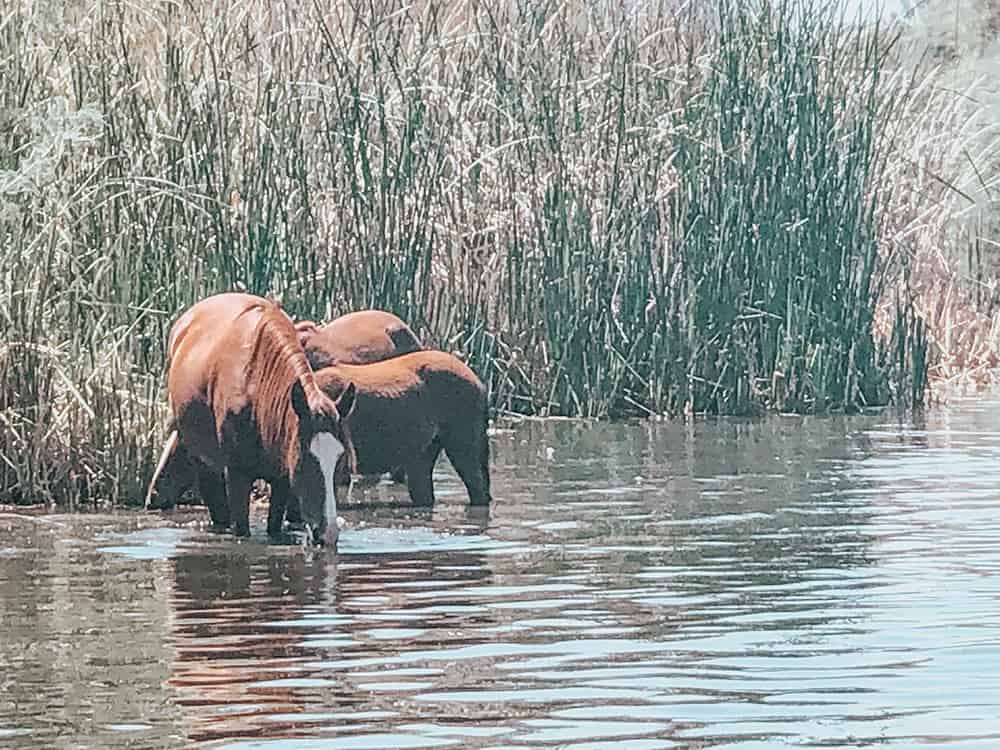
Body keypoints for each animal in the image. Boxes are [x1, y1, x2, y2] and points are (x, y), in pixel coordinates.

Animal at [145, 292, 356, 548]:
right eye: (306, 458)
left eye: (340, 459)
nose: (328, 533)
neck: (256, 388)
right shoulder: (237, 475)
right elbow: (241, 529)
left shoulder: (282, 479)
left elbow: (274, 527)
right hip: (203, 461)